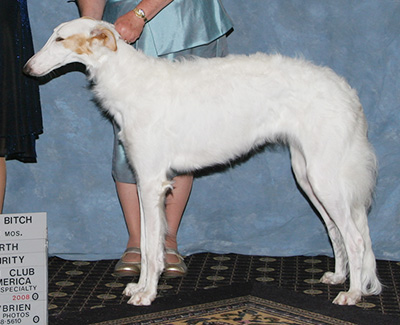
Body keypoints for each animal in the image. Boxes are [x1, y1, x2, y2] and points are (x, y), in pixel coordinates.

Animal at [24, 17, 382, 306]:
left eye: (60, 38)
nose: (27, 69)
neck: (128, 80)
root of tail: (347, 92)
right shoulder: (143, 181)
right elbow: (148, 244)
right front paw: (138, 287)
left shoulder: (152, 181)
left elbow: (152, 250)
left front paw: (147, 294)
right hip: (308, 175)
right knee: (336, 231)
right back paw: (339, 277)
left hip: (325, 177)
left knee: (355, 238)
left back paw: (352, 293)